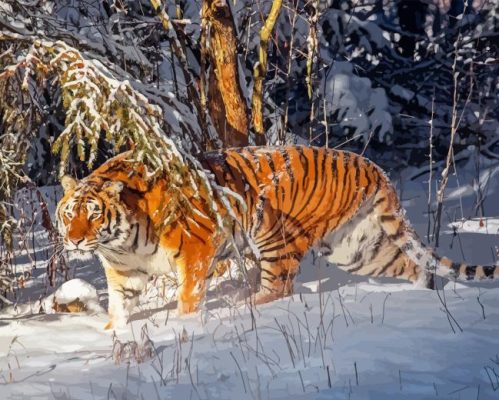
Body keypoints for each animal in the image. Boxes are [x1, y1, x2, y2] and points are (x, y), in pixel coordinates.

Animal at [55, 146, 499, 328]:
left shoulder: (195, 253)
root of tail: (371, 165)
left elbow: (187, 299)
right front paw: (112, 334)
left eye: (93, 214)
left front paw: (185, 327)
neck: (119, 240)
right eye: (69, 214)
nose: (74, 240)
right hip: (355, 247)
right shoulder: (125, 272)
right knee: (410, 264)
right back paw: (427, 295)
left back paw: (242, 306)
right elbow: (119, 308)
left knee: (279, 287)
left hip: (275, 235)